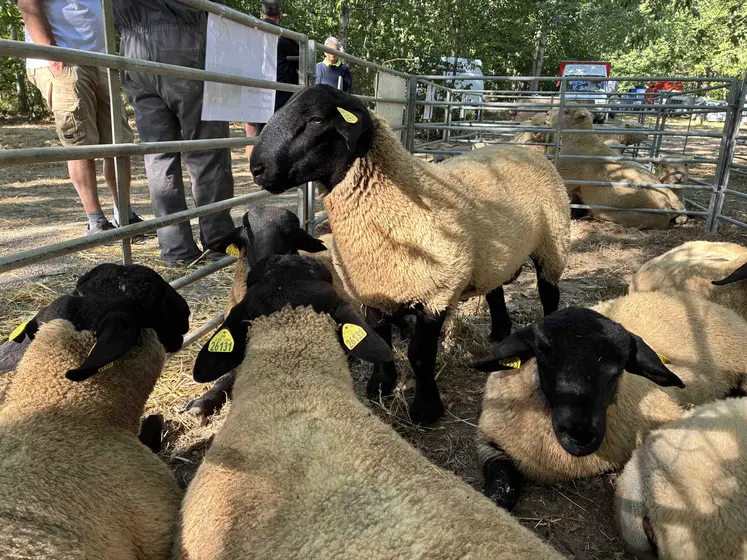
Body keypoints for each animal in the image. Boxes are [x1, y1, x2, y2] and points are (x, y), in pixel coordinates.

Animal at [250, 84, 571, 424]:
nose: (256, 168)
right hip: (493, 255)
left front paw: (426, 409)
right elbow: (380, 338)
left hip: (553, 242)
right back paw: (499, 334)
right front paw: (381, 387)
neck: (400, 199)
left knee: (549, 293)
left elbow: (420, 354)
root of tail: (528, 150)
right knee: (495, 289)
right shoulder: (374, 288)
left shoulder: (438, 293)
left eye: (315, 120)